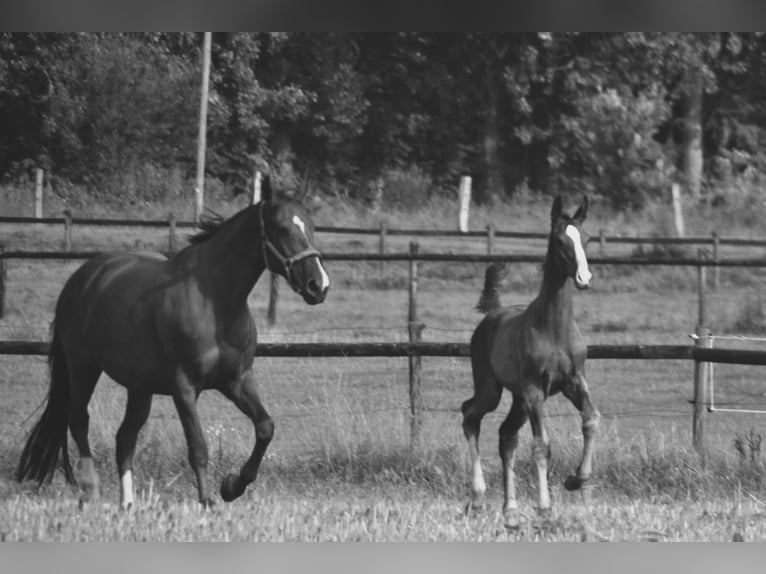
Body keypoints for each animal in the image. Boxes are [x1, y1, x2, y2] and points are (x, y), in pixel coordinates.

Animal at [17, 177, 330, 508]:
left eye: (311, 226)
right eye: (282, 228)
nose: (319, 285)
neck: (216, 300)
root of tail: (81, 278)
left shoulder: (237, 381)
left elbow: (265, 427)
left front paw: (231, 486)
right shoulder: (184, 387)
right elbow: (198, 447)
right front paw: (207, 501)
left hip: (139, 388)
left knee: (124, 438)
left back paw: (128, 505)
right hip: (82, 366)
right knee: (78, 419)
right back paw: (91, 490)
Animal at [462, 197, 600, 528]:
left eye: (587, 238)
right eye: (560, 240)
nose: (584, 279)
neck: (554, 328)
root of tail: (493, 314)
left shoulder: (575, 381)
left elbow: (591, 419)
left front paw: (576, 480)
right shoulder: (536, 390)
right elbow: (541, 446)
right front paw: (545, 507)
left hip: (518, 399)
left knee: (506, 436)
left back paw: (510, 508)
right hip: (493, 390)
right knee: (469, 415)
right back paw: (478, 498)